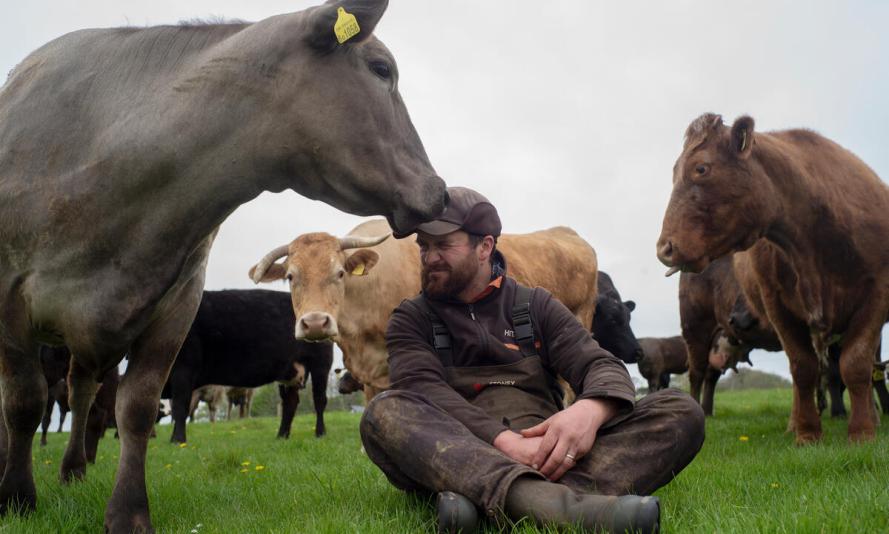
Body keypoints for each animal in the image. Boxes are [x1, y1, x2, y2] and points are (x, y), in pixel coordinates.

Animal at [163, 292, 332, 446]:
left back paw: (320, 433)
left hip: (321, 364)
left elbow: (180, 406)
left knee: (319, 400)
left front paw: (177, 441)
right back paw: (281, 436)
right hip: (289, 371)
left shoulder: (184, 369)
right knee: (290, 403)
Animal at [656, 113, 884, 444]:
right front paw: (807, 434)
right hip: (695, 328)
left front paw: (864, 431)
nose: (665, 248)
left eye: (701, 168)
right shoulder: (778, 306)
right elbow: (803, 367)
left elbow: (855, 365)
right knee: (698, 373)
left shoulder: (877, 296)